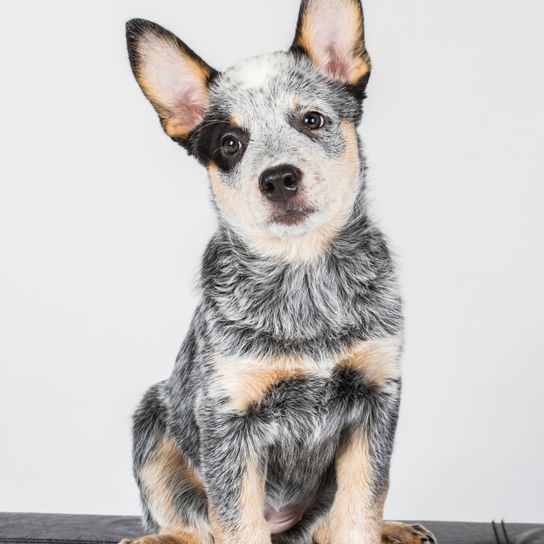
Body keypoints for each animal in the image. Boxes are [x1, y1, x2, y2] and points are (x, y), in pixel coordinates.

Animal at [121, 1, 436, 544]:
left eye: (312, 119)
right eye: (230, 142)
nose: (279, 178)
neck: (304, 282)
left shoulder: (377, 399)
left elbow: (360, 511)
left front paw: (374, 525)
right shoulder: (228, 420)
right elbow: (235, 523)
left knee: (330, 525)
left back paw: (395, 529)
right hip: (153, 416)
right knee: (193, 525)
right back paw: (155, 538)